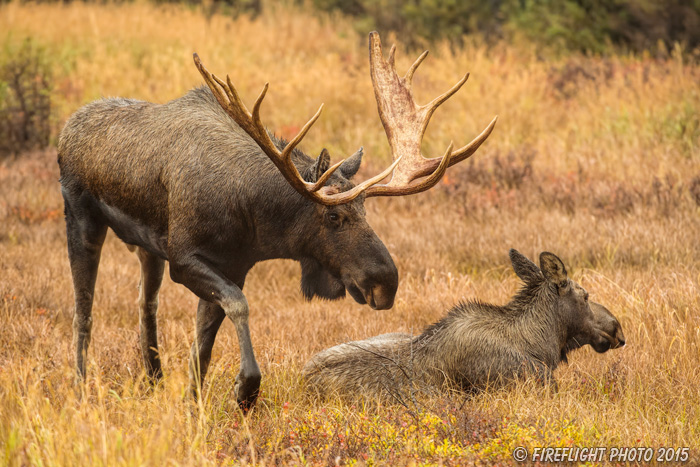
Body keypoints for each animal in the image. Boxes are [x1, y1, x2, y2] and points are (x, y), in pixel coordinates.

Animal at [57, 32, 500, 410]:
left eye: (366, 210)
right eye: (334, 215)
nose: (385, 282)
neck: (252, 219)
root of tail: (67, 126)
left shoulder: (233, 264)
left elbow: (203, 347)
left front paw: (193, 404)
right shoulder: (184, 258)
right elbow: (238, 306)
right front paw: (246, 389)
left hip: (147, 248)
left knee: (144, 304)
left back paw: (153, 379)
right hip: (81, 216)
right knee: (84, 307)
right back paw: (80, 386)